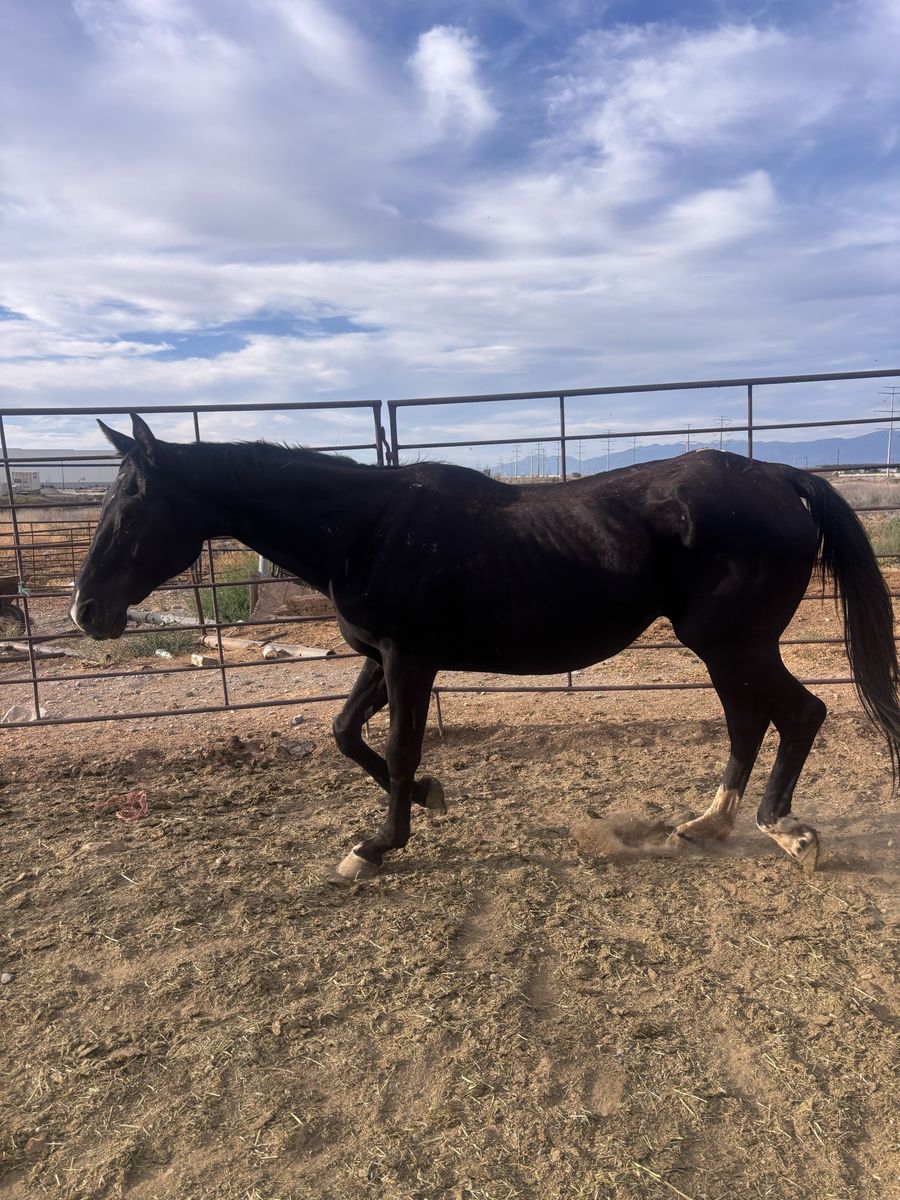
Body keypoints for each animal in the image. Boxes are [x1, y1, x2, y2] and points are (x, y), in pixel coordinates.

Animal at [71, 414, 900, 878]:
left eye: (132, 507)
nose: (86, 612)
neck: (363, 528)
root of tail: (781, 476)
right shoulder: (380, 659)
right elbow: (344, 734)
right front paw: (428, 799)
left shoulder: (409, 659)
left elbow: (397, 747)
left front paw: (377, 845)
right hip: (725, 646)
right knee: (750, 721)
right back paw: (707, 825)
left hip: (732, 642)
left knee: (797, 715)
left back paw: (787, 833)